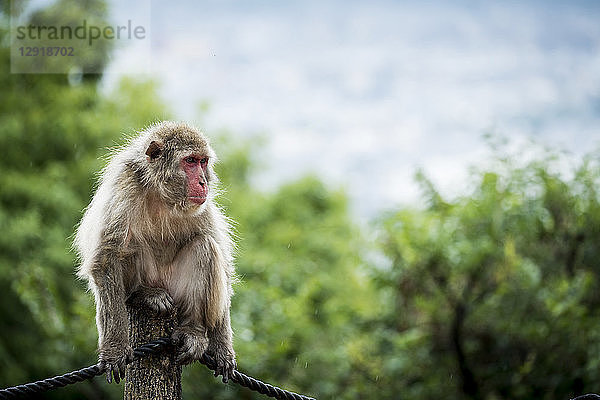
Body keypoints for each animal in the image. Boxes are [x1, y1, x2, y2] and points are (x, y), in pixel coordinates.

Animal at [73, 121, 237, 384]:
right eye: (190, 161)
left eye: (203, 162)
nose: (203, 182)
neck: (163, 195)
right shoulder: (125, 184)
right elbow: (108, 256)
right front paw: (115, 349)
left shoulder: (201, 206)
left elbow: (224, 265)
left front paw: (222, 348)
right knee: (130, 244)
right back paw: (143, 294)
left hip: (178, 291)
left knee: (204, 244)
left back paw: (192, 330)